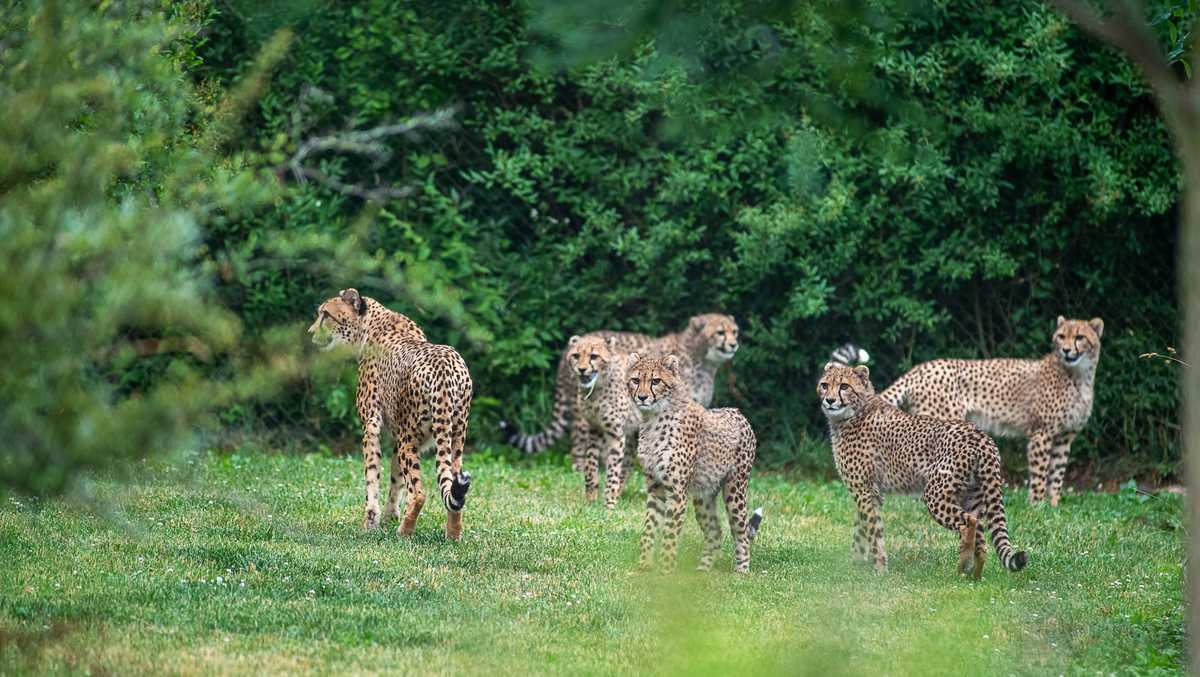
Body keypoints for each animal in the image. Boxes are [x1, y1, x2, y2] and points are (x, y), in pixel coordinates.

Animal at [308, 288, 473, 541]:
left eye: (325, 314)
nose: (311, 332)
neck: (369, 326)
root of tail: (446, 367)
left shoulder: (372, 426)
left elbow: (372, 475)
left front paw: (371, 522)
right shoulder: (399, 434)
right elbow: (396, 478)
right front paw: (389, 516)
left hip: (411, 439)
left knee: (419, 492)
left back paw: (404, 531)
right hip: (455, 438)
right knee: (453, 485)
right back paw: (452, 534)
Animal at [499, 314, 740, 456]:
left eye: (734, 331)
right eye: (720, 332)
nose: (734, 344)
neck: (703, 359)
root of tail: (570, 346)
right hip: (582, 414)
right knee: (578, 446)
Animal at [627, 353, 761, 573]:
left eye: (656, 381)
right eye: (636, 380)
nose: (642, 397)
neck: (653, 419)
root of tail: (737, 411)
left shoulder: (677, 493)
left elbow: (669, 536)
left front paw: (665, 572)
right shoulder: (655, 489)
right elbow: (649, 529)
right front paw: (644, 567)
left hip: (735, 490)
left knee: (741, 532)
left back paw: (741, 570)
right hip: (703, 496)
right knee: (715, 532)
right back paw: (702, 571)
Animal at [818, 362, 1028, 578]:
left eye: (844, 386)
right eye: (824, 385)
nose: (829, 400)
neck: (854, 411)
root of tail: (980, 434)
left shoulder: (864, 490)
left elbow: (873, 532)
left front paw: (879, 569)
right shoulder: (870, 492)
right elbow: (861, 530)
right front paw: (856, 565)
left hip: (935, 494)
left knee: (968, 522)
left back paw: (963, 565)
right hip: (972, 496)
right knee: (982, 538)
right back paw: (973, 577)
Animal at [880, 316, 1103, 507]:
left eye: (1079, 337)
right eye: (1061, 336)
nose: (1065, 350)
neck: (1079, 376)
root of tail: (920, 367)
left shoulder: (1065, 436)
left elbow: (1057, 473)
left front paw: (1054, 505)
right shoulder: (1042, 433)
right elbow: (1040, 473)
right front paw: (1037, 505)